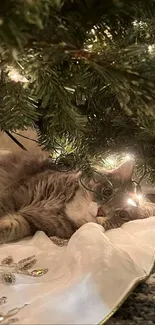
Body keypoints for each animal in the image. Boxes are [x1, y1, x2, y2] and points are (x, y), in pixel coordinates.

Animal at [0, 149, 153, 243]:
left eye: (123, 214)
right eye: (107, 192)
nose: (101, 212)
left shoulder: (30, 223)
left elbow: (13, 226)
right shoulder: (15, 193)